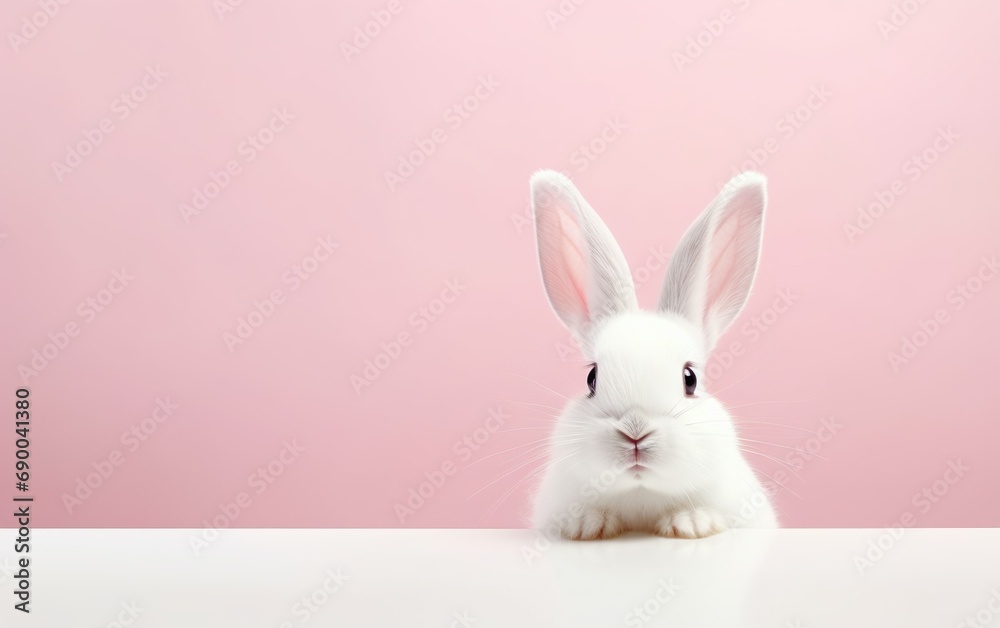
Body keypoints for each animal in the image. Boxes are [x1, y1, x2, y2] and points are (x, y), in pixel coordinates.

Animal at [527, 169, 778, 540]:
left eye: (690, 379)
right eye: (591, 378)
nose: (636, 431)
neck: (640, 496)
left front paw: (692, 523)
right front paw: (586, 524)